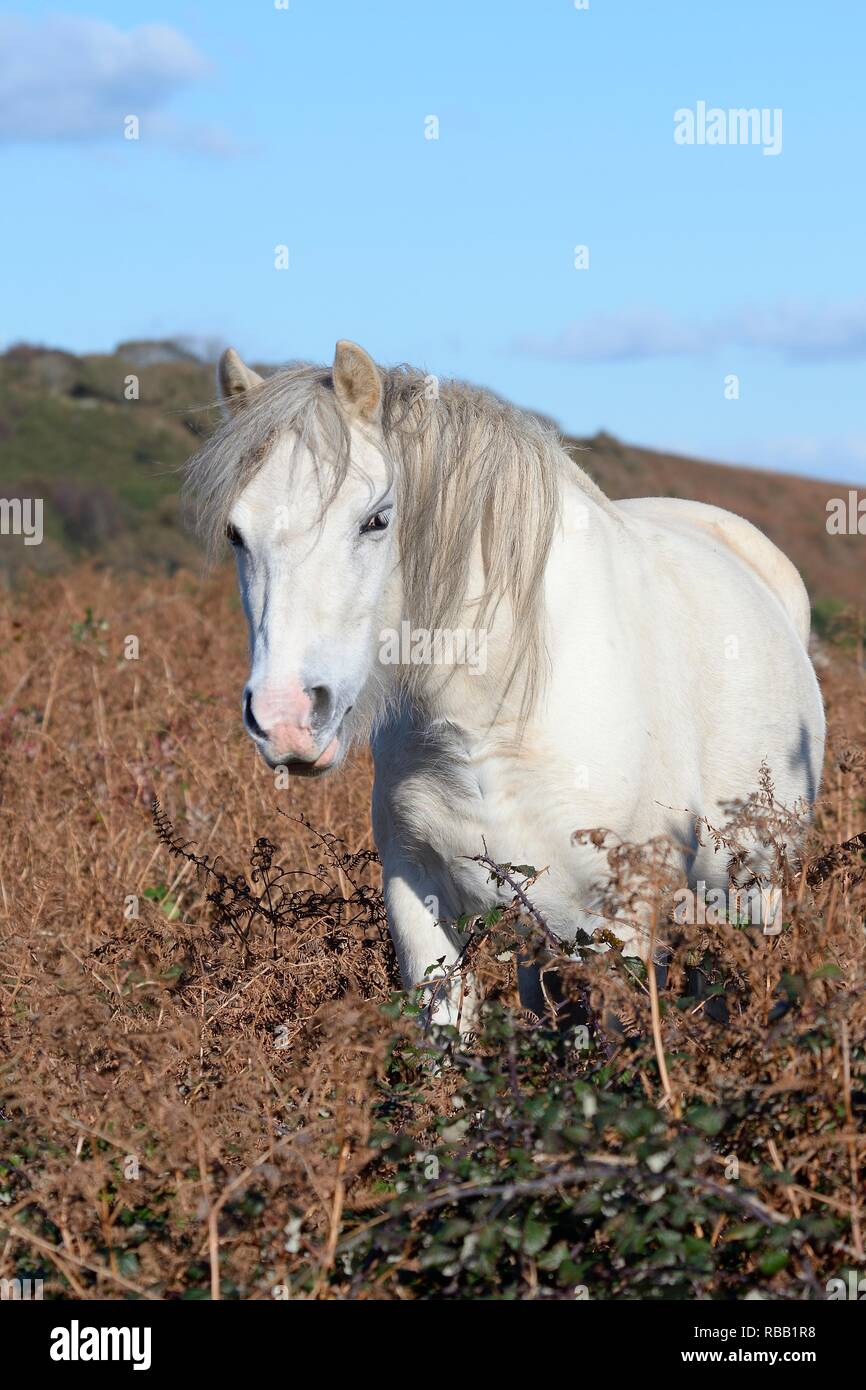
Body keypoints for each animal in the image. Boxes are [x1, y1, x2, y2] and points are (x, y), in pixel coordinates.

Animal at [187, 343, 828, 1028]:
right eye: (235, 534)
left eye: (376, 520)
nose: (285, 718)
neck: (491, 723)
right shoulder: (421, 903)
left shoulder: (626, 926)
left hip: (753, 892)